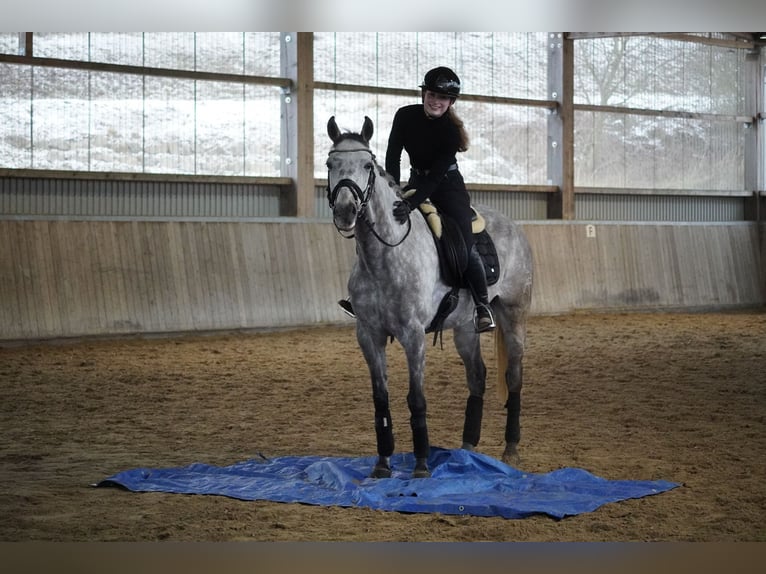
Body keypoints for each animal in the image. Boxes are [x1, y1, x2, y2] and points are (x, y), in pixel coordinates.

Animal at [326, 117, 536, 482]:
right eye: (329, 165)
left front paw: (422, 464)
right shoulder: (368, 335)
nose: (345, 212)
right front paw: (382, 464)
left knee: (514, 377)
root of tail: (514, 228)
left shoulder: (413, 335)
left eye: (367, 165)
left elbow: (416, 399)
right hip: (465, 328)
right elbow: (380, 399)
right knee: (477, 377)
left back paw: (510, 448)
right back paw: (467, 451)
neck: (384, 254)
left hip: (514, 315)